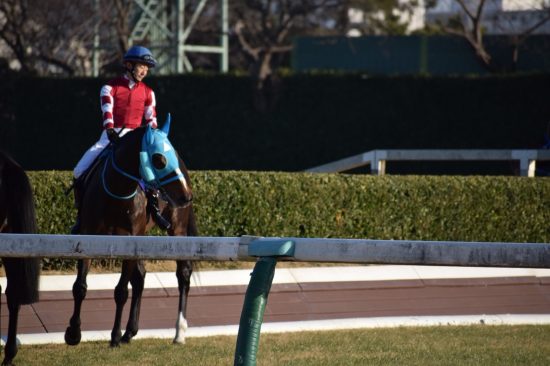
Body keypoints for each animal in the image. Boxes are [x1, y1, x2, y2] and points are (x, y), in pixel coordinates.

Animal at [64, 116, 197, 348]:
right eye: (159, 159)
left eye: (170, 154)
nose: (186, 196)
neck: (117, 191)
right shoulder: (88, 236)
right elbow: (79, 286)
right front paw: (73, 332)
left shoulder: (129, 240)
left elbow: (121, 291)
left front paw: (115, 336)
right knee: (140, 277)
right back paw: (130, 331)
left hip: (177, 228)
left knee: (183, 273)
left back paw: (179, 332)